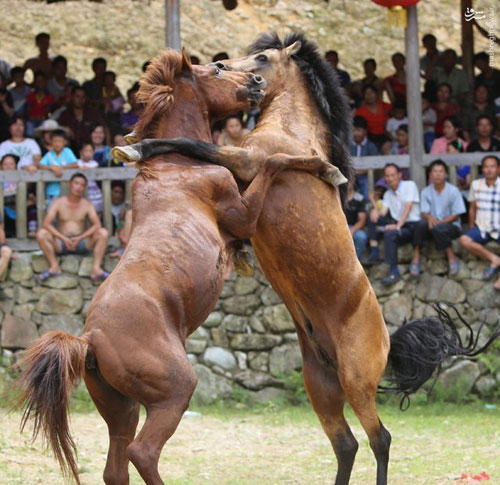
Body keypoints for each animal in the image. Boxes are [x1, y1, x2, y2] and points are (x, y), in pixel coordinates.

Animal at [118, 32, 500, 482]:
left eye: (263, 58)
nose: (240, 75)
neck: (292, 127)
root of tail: (388, 342)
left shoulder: (246, 160)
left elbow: (195, 144)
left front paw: (135, 147)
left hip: (356, 383)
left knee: (380, 439)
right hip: (322, 388)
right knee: (346, 444)